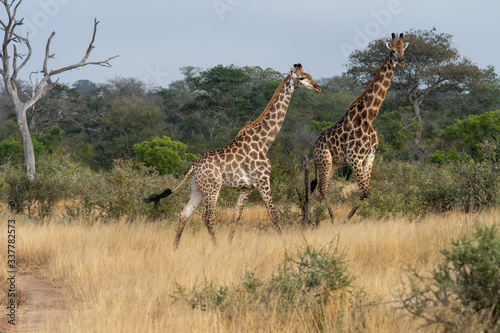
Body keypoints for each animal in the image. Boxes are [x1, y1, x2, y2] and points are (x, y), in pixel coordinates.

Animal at [146, 64, 322, 246]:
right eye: (301, 78)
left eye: (308, 74)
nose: (317, 87)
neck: (265, 142)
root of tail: (195, 165)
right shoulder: (262, 180)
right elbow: (273, 214)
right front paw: (285, 243)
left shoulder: (247, 187)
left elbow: (236, 216)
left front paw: (230, 245)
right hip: (213, 187)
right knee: (207, 217)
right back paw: (216, 247)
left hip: (197, 188)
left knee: (184, 214)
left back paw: (175, 247)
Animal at [310, 33, 408, 220]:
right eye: (392, 50)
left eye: (403, 50)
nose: (402, 61)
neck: (369, 117)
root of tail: (313, 146)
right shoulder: (354, 157)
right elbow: (364, 191)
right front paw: (348, 220)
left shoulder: (370, 156)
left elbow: (365, 192)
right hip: (325, 161)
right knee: (322, 191)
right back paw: (329, 220)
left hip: (334, 164)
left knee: (319, 191)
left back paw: (318, 220)